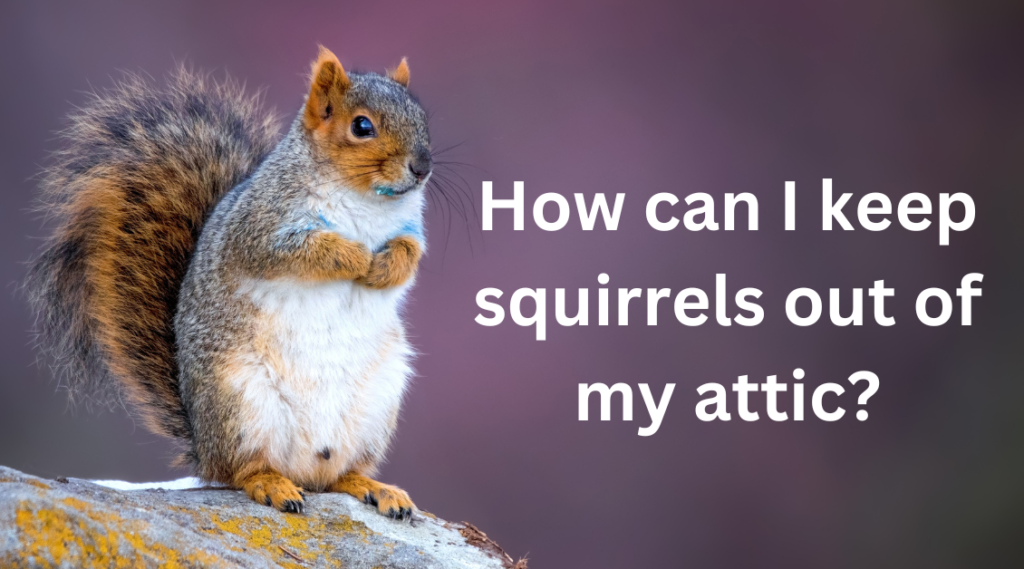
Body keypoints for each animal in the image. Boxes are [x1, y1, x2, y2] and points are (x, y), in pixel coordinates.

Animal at [27, 47, 432, 518]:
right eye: (362, 126)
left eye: (422, 117)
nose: (422, 168)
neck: (367, 201)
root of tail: (204, 448)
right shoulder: (260, 228)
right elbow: (301, 252)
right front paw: (357, 258)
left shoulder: (410, 230)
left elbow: (409, 256)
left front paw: (384, 265)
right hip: (240, 403)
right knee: (242, 470)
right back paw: (271, 484)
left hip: (375, 409)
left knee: (337, 476)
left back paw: (373, 487)